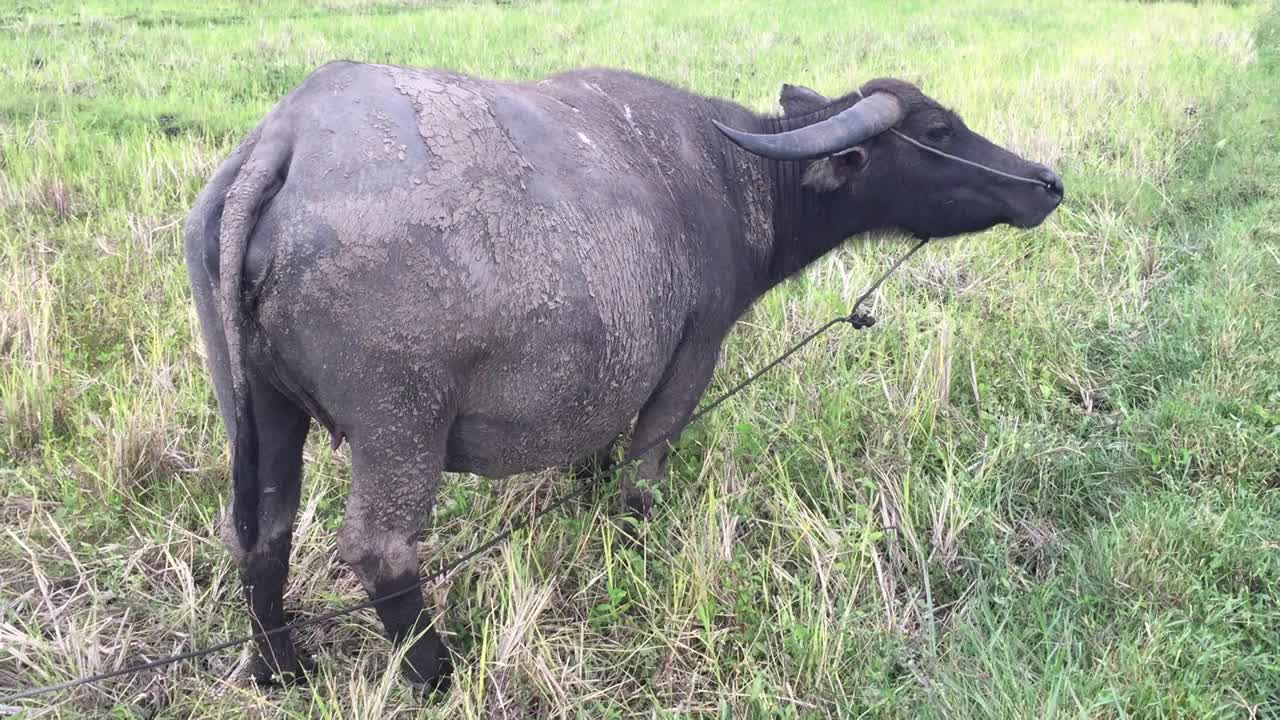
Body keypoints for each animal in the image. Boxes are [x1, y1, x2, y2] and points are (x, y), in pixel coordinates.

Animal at [180, 61, 1059, 691]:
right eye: (940, 128)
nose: (1046, 184)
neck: (732, 176)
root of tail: (283, 145)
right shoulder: (693, 354)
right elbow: (643, 470)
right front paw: (635, 544)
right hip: (401, 428)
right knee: (379, 550)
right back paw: (437, 675)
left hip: (260, 408)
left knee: (262, 534)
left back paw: (282, 669)